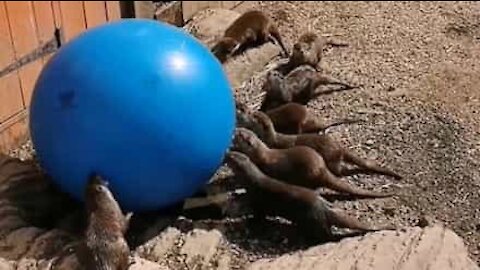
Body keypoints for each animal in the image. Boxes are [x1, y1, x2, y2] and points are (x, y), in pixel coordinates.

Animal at [225, 151, 394, 242]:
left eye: (232, 157)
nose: (227, 153)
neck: (253, 181)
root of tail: (325, 208)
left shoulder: (258, 202)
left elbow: (258, 216)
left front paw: (250, 223)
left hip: (312, 219)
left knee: (327, 236)